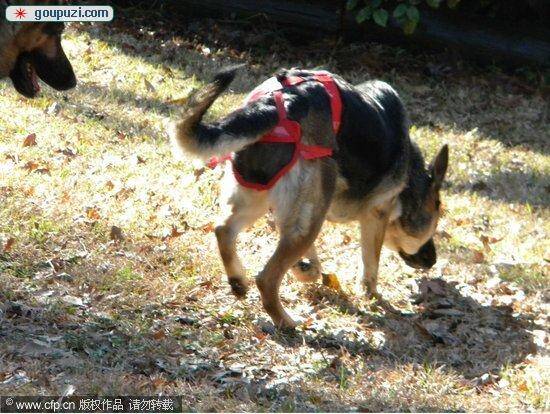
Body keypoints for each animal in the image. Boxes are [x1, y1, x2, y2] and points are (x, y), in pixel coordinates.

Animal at [168, 66, 448, 328]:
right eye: (434, 221)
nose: (433, 259)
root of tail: (281, 104)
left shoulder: (303, 211)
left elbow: (313, 264)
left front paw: (304, 268)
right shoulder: (376, 214)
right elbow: (370, 264)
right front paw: (371, 295)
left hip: (260, 199)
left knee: (223, 230)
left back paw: (238, 281)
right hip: (305, 220)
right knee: (266, 278)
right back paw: (286, 321)